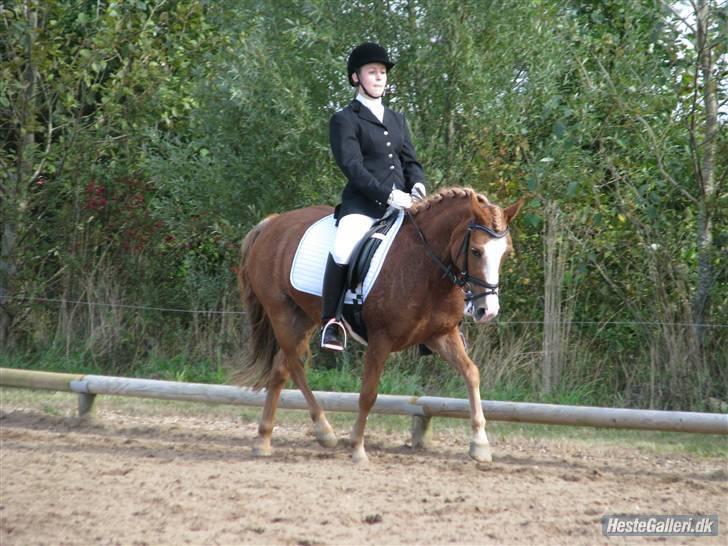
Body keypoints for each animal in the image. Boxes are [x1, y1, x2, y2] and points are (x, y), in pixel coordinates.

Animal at [235, 187, 523, 464]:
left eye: (506, 253)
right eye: (476, 251)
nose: (488, 311)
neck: (425, 267)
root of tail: (273, 223)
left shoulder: (442, 334)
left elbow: (471, 373)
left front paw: (480, 445)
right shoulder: (380, 340)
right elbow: (369, 394)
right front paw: (357, 449)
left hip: (304, 318)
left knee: (280, 370)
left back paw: (263, 440)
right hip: (281, 313)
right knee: (295, 366)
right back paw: (324, 431)